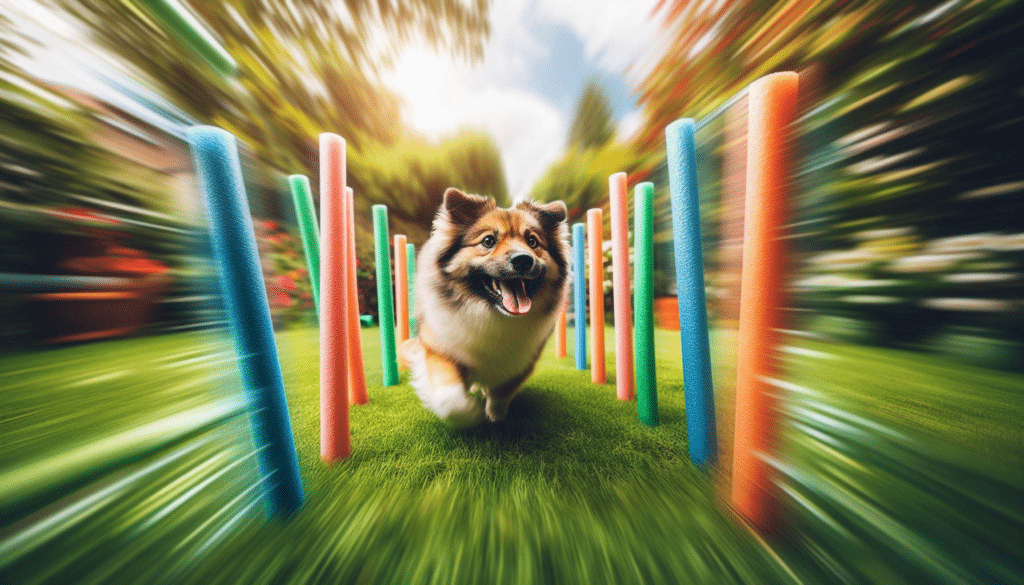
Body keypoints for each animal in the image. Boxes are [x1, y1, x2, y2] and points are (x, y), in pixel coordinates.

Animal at [399, 189, 573, 428]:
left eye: (532, 241)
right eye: (488, 241)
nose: (523, 259)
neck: (491, 315)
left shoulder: (524, 361)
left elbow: (502, 392)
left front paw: (495, 415)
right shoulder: (439, 349)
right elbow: (450, 399)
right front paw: (469, 414)